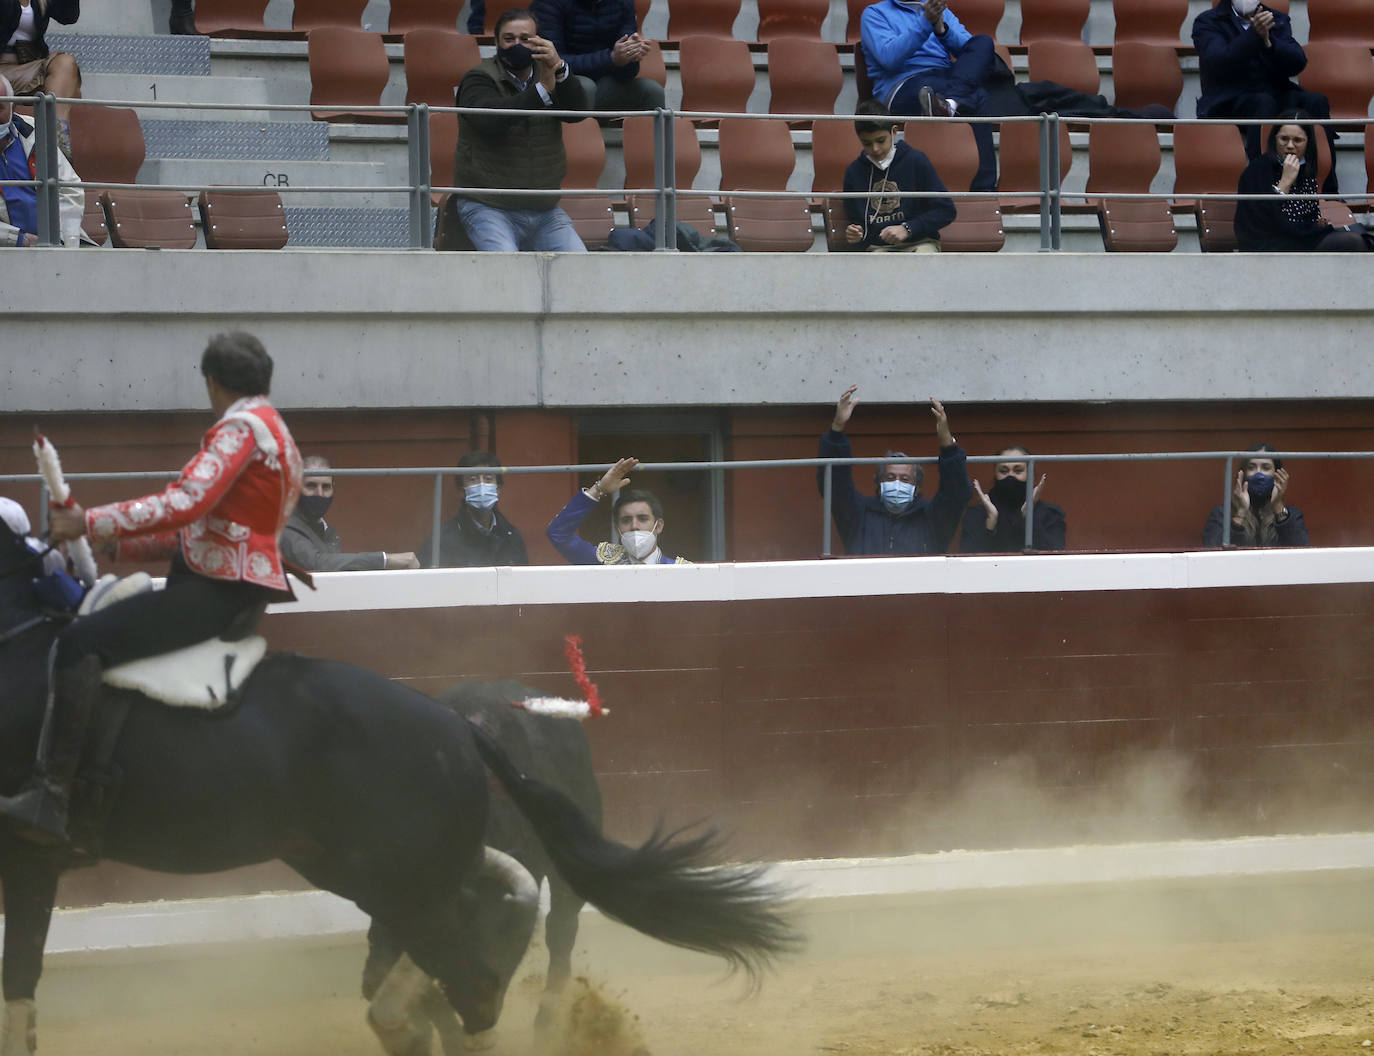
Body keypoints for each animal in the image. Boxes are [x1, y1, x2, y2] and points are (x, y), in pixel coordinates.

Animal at [0, 532, 796, 1049]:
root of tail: (463, 725)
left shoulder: (30, 860)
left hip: (451, 878)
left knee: (549, 937)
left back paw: (520, 1017)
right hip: (345, 863)